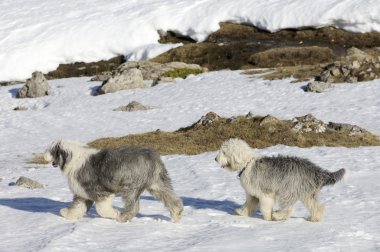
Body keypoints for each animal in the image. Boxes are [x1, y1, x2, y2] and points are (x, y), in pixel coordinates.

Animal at [43, 140, 183, 222]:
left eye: (51, 150)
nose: (44, 155)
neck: (71, 158)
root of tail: (152, 158)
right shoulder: (83, 192)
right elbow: (78, 206)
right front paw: (67, 214)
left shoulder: (99, 191)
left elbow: (102, 208)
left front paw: (114, 214)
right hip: (158, 183)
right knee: (172, 199)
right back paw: (177, 214)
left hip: (131, 186)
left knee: (133, 206)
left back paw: (122, 217)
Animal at [215, 138, 346, 222]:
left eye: (224, 152)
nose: (215, 159)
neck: (247, 164)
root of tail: (313, 169)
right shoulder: (252, 195)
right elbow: (248, 204)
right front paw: (241, 212)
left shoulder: (266, 193)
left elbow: (265, 207)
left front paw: (268, 218)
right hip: (307, 193)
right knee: (317, 206)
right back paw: (314, 218)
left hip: (288, 191)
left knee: (289, 209)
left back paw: (277, 216)